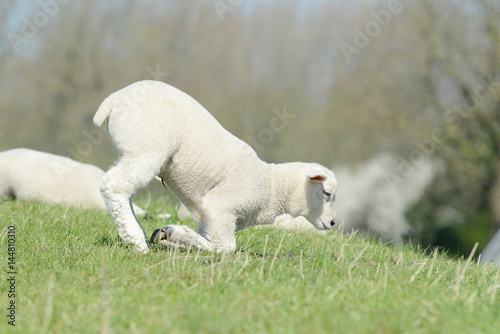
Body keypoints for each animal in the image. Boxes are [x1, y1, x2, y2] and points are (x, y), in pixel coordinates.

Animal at [93, 80, 336, 253]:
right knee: (113, 185)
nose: (333, 222)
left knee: (124, 189)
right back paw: (136, 240)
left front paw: (172, 239)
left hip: (133, 150)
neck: (270, 185)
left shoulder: (209, 219)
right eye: (327, 193)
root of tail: (117, 97)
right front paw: (177, 235)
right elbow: (226, 248)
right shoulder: (220, 207)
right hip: (147, 148)